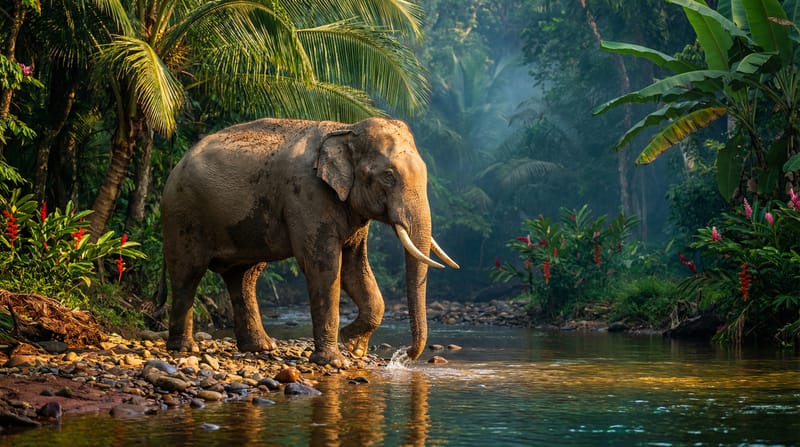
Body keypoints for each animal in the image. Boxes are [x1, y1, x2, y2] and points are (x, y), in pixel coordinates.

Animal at [161, 117, 459, 367]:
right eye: (388, 176)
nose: (404, 356)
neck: (345, 129)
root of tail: (178, 163)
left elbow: (354, 267)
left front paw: (354, 346)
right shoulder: (307, 195)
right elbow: (323, 266)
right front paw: (335, 361)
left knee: (244, 277)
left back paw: (261, 348)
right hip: (182, 212)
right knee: (188, 272)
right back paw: (185, 349)